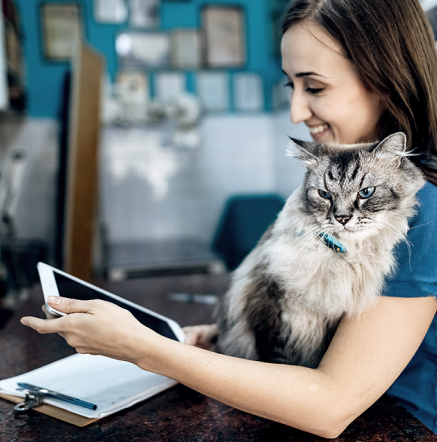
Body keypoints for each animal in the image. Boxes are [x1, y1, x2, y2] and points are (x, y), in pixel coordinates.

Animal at [216, 133, 424, 368]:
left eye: (366, 192)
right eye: (325, 194)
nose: (342, 218)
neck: (339, 258)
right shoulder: (271, 308)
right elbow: (277, 361)